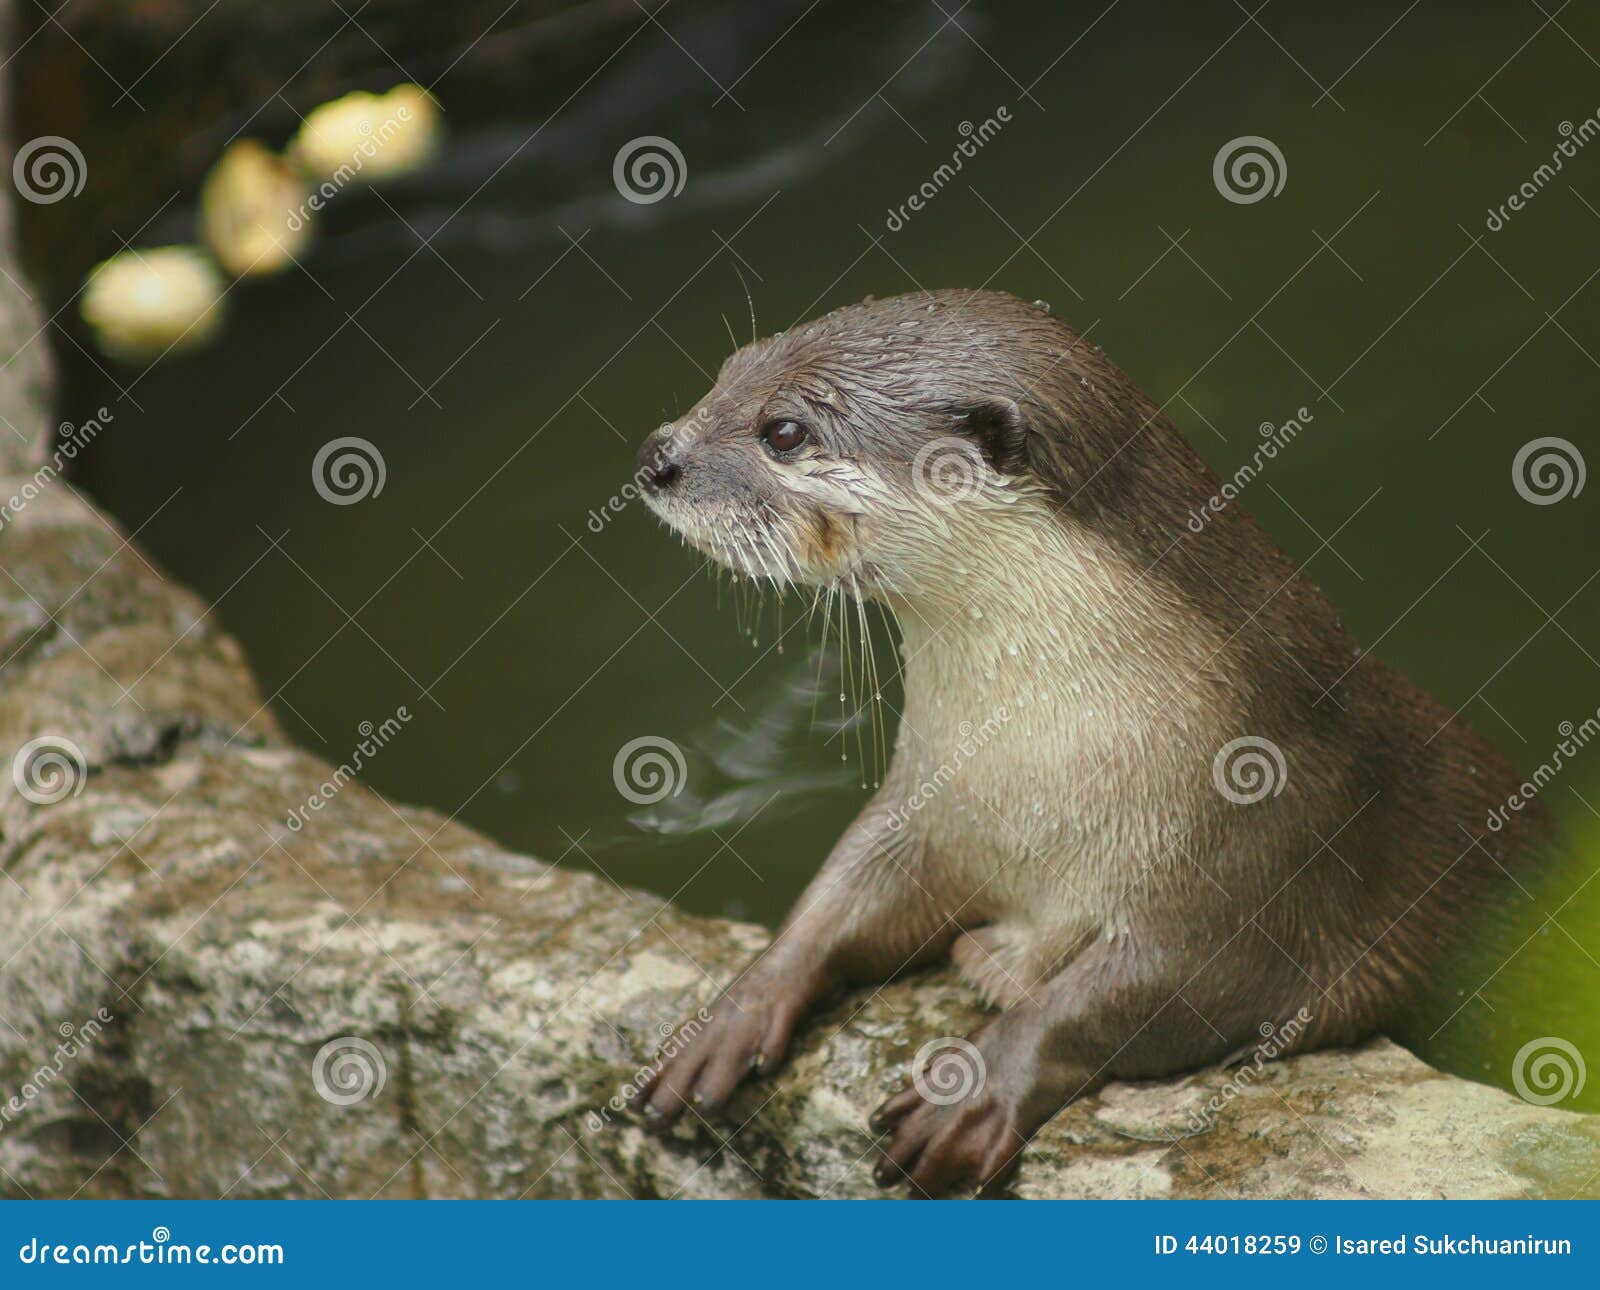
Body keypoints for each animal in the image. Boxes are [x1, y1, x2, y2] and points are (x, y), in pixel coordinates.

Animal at [627, 289, 1556, 1196]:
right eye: (730, 369)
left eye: (785, 431)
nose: (656, 455)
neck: (1047, 773)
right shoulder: (932, 802)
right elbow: (841, 893)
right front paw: (733, 1010)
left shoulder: (1270, 850)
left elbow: (1131, 995)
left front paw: (975, 1087)